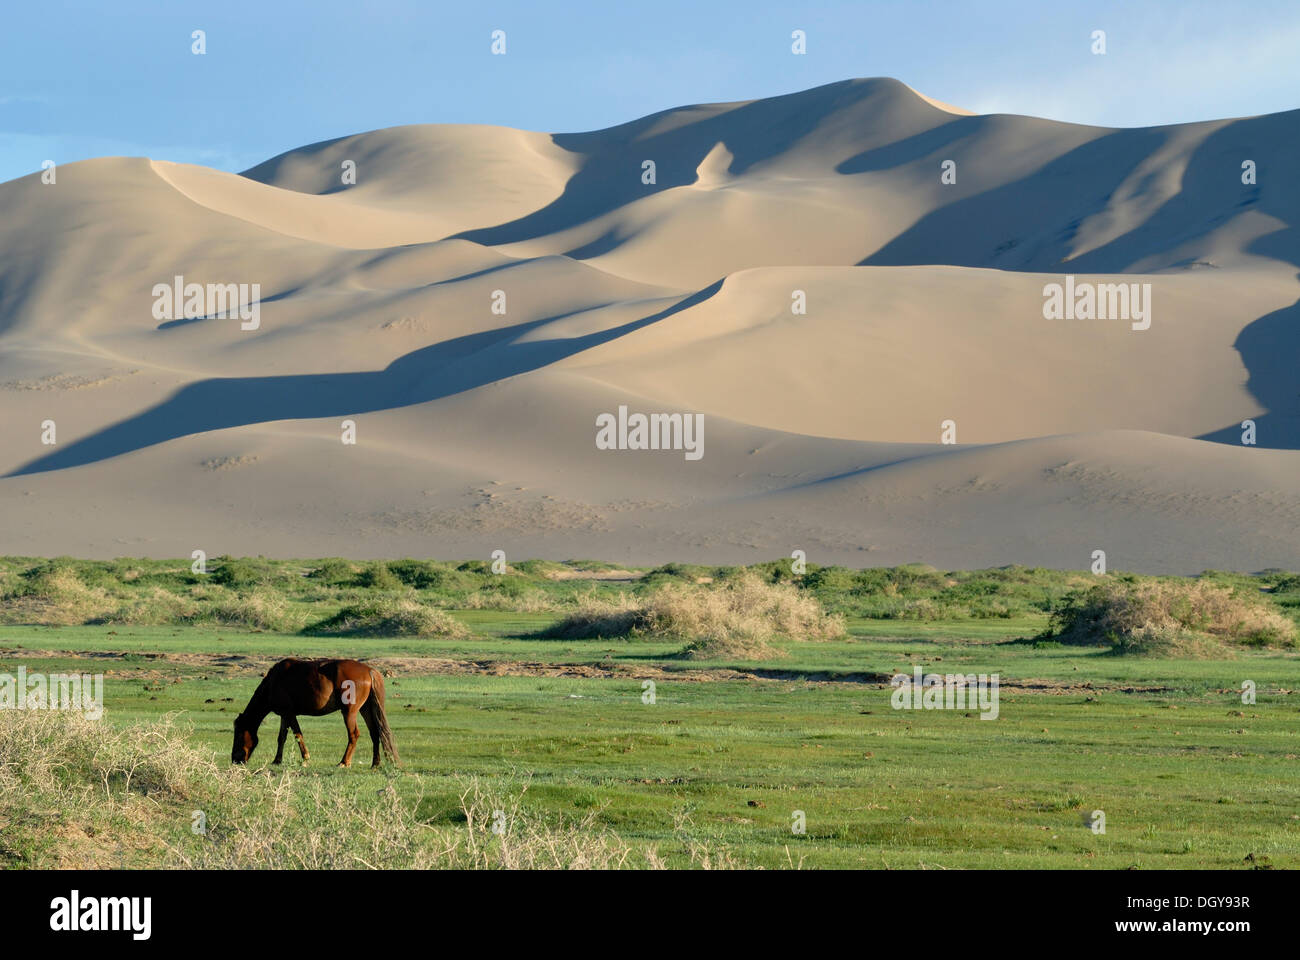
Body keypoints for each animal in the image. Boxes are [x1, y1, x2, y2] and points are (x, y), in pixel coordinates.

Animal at [231, 655, 397, 764]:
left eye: (238, 735)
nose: (234, 760)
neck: (273, 682)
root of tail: (369, 670)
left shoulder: (289, 714)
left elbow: (298, 734)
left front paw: (305, 757)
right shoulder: (284, 715)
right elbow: (282, 737)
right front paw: (277, 760)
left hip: (349, 712)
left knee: (354, 735)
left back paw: (344, 762)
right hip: (365, 710)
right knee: (375, 733)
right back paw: (375, 764)